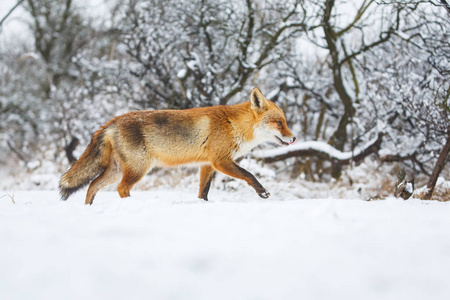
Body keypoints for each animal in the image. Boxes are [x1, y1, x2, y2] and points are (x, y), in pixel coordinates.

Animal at [60, 86, 296, 204]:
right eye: (279, 123)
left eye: (285, 122)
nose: (293, 138)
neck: (234, 125)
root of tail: (111, 121)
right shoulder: (220, 161)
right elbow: (250, 175)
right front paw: (262, 193)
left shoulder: (207, 164)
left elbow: (203, 192)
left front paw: (202, 206)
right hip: (138, 169)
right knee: (120, 188)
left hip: (117, 170)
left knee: (92, 185)